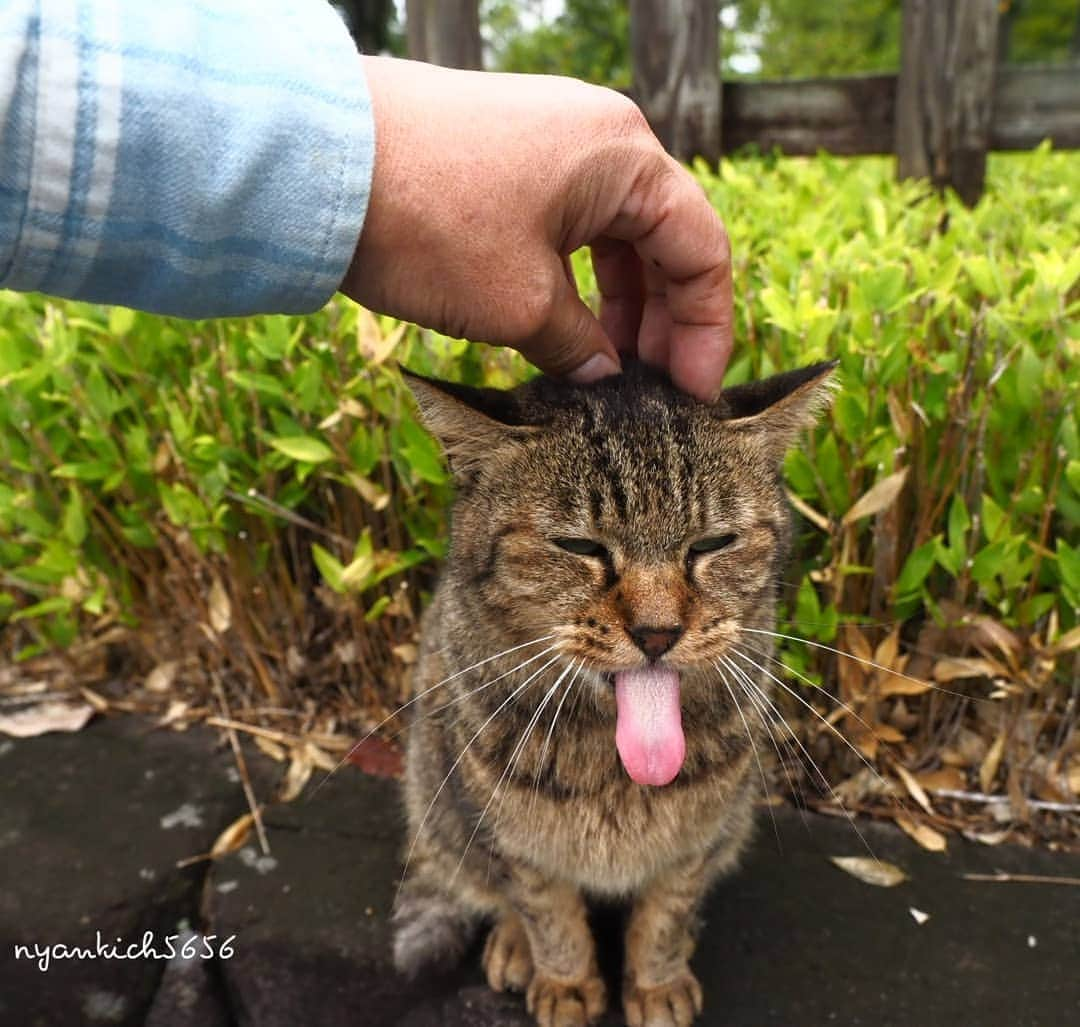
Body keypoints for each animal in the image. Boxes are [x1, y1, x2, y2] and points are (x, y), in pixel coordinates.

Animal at [395, 360, 833, 1027]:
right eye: (581, 547)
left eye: (712, 544)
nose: (657, 632)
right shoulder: (512, 837)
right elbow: (545, 910)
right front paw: (567, 982)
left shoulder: (699, 838)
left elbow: (666, 915)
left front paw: (656, 985)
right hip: (436, 798)